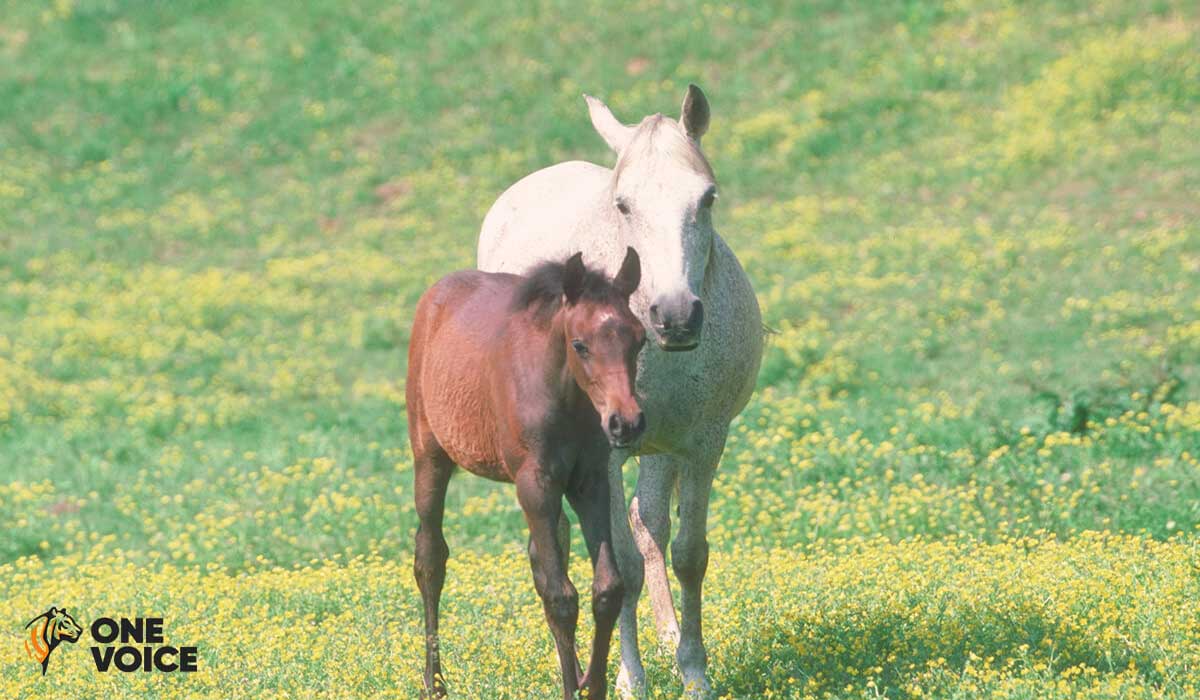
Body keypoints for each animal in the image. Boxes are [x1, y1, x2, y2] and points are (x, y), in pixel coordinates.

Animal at [405, 249, 648, 696]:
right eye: (579, 344)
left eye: (639, 339)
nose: (627, 423)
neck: (564, 396)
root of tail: (438, 292)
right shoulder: (535, 484)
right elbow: (559, 596)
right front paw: (572, 689)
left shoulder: (590, 482)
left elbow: (607, 587)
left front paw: (592, 686)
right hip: (430, 457)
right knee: (430, 558)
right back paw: (435, 683)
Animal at [475, 84, 758, 696]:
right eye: (624, 205)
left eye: (708, 197)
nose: (675, 316)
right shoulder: (604, 454)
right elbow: (618, 568)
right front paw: (630, 679)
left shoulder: (701, 444)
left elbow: (687, 552)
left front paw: (693, 672)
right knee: (563, 542)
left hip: (657, 449)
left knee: (648, 525)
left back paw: (669, 638)